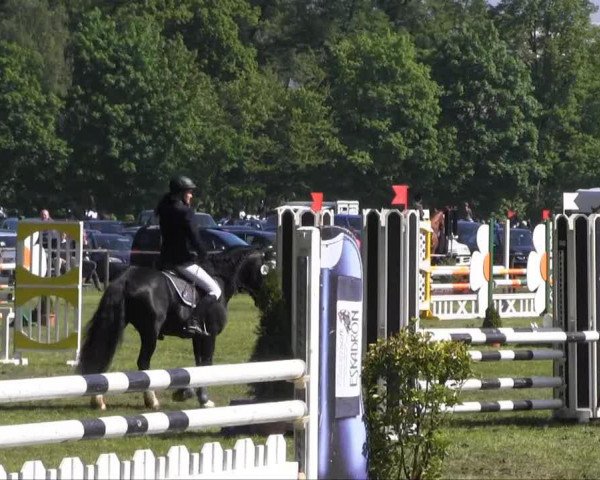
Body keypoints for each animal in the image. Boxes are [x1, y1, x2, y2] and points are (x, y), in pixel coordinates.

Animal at [76, 248, 268, 408]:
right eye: (266, 271)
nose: (264, 302)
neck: (220, 278)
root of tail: (127, 278)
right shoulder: (209, 335)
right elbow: (206, 363)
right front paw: (199, 398)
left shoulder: (198, 336)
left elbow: (199, 364)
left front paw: (191, 394)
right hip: (150, 333)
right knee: (143, 363)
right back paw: (151, 400)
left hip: (120, 324)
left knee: (105, 351)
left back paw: (98, 399)